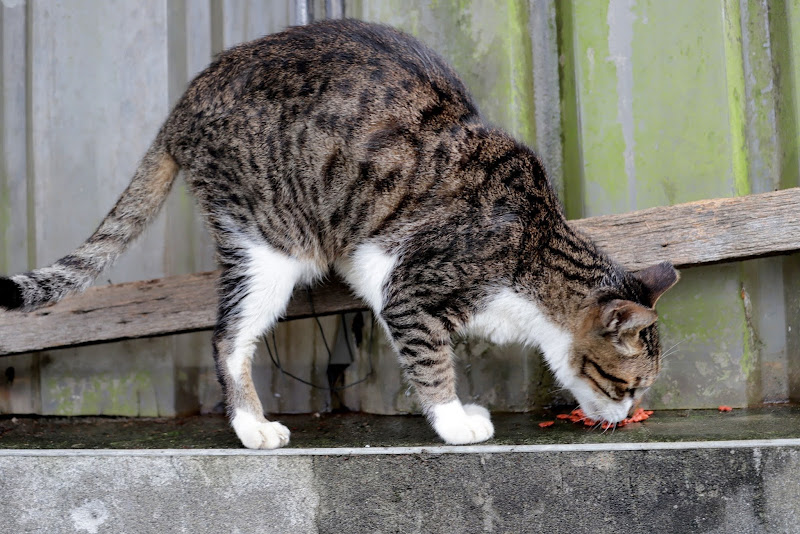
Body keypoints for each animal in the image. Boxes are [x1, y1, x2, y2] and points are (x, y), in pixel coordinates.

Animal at [0, 18, 676, 450]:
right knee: (226, 339)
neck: (534, 255)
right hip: (270, 244)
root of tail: (186, 99)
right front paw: (455, 422)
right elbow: (431, 361)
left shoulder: (381, 269)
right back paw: (253, 428)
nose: (628, 415)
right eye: (629, 383)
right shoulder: (413, 291)